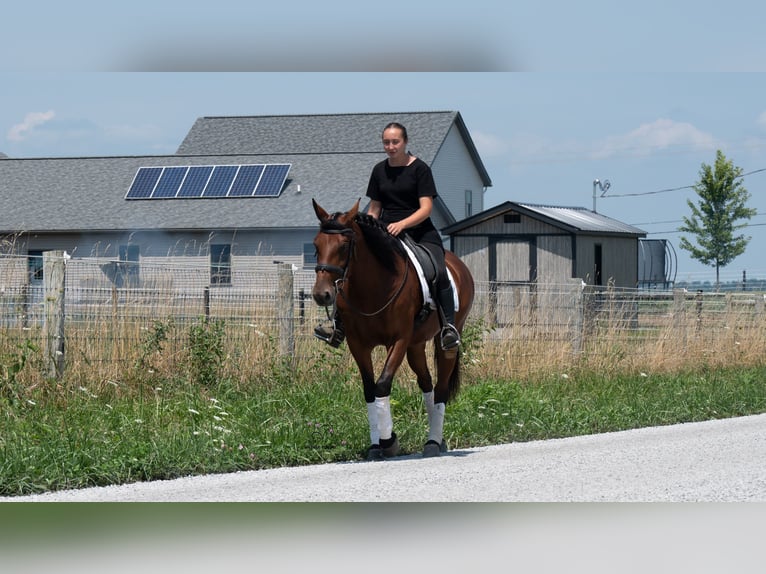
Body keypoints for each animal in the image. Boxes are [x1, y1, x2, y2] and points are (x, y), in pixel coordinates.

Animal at [311, 198, 475, 459]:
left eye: (344, 246)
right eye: (316, 245)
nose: (321, 294)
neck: (373, 286)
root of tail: (458, 265)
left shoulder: (398, 340)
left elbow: (382, 384)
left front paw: (389, 441)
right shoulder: (358, 344)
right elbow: (369, 389)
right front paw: (375, 445)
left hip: (444, 343)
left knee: (440, 388)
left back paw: (433, 442)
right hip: (416, 346)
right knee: (426, 384)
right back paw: (437, 440)